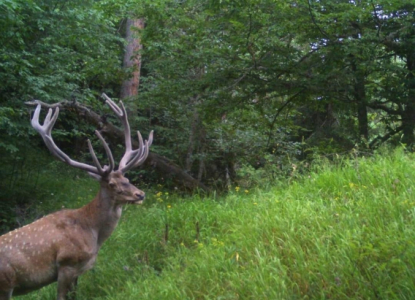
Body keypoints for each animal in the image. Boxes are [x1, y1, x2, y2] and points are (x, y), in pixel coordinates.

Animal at [0, 92, 154, 298]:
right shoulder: (67, 263)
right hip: (6, 283)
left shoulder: (79, 270)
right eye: (111, 184)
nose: (140, 194)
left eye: (126, 178)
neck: (93, 234)